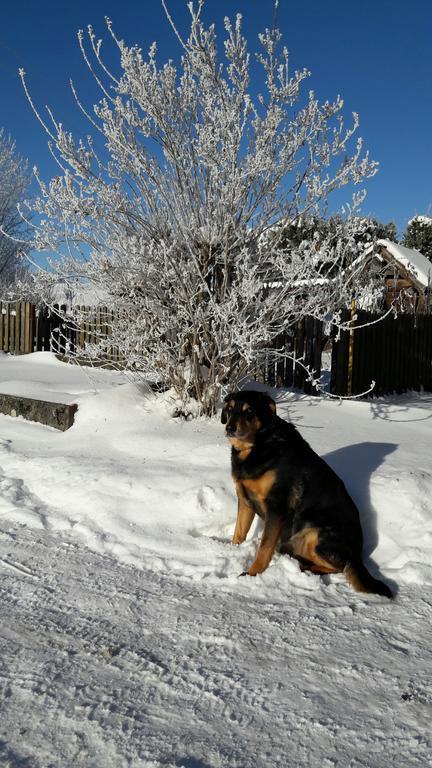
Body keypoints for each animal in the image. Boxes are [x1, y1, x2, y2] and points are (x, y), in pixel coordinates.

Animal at [221, 390, 394, 600]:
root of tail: (357, 555)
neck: (258, 445)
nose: (229, 427)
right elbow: (239, 532)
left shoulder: (276, 507)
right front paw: (232, 550)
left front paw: (252, 574)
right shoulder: (245, 500)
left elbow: (264, 548)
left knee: (341, 566)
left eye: (249, 411)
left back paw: (308, 568)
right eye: (230, 409)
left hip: (318, 535)